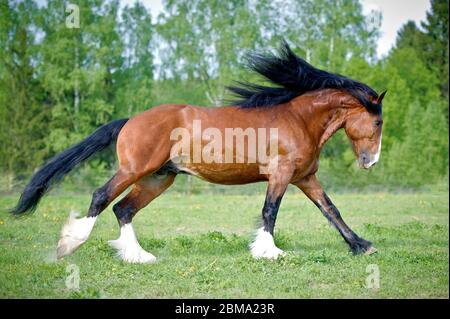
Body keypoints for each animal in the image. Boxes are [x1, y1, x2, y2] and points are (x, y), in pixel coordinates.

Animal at [10, 41, 384, 264]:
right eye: (378, 122)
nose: (371, 162)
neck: (299, 119)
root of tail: (131, 120)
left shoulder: (305, 177)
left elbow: (331, 210)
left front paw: (362, 245)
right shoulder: (280, 175)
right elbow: (270, 212)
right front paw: (268, 251)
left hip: (158, 178)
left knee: (123, 209)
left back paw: (139, 256)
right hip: (135, 170)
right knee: (102, 197)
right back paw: (69, 244)